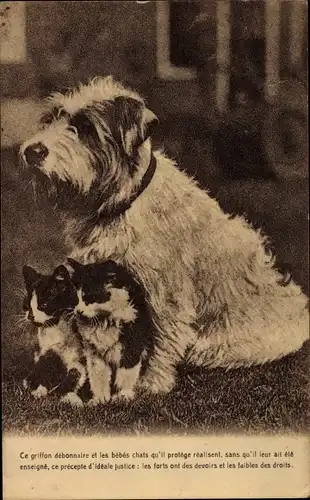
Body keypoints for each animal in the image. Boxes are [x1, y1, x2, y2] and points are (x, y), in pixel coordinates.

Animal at [22, 266, 88, 406]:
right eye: (27, 306)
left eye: (43, 305)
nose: (30, 316)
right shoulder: (46, 350)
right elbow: (45, 365)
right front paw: (38, 390)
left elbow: (76, 372)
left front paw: (70, 397)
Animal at [68, 260, 155, 404]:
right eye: (76, 298)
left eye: (89, 298)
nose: (78, 311)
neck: (104, 321)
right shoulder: (94, 352)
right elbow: (98, 377)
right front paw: (100, 399)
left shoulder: (131, 347)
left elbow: (126, 373)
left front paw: (123, 396)